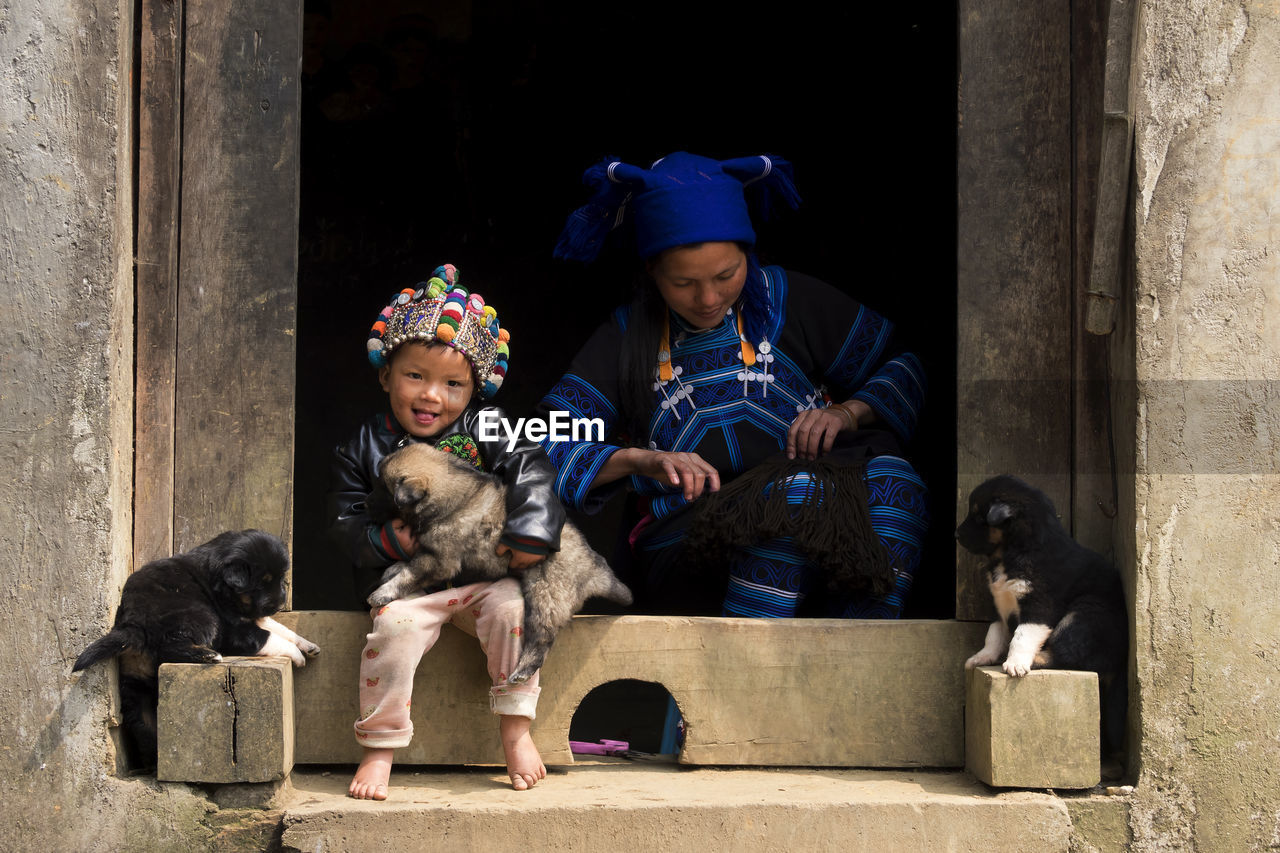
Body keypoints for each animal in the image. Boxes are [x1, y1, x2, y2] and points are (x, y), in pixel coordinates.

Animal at [72, 527, 320, 768]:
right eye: (261, 583)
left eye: (280, 578)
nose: (279, 604)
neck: (221, 586)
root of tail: (134, 625)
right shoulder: (232, 631)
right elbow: (267, 635)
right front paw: (297, 655)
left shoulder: (248, 617)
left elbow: (278, 627)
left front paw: (308, 645)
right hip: (201, 615)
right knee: (169, 647)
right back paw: (208, 655)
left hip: (135, 688)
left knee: (145, 726)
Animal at [957, 471, 1126, 676]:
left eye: (979, 518)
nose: (956, 534)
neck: (1016, 550)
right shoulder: (998, 602)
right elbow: (994, 633)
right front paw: (982, 657)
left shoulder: (1039, 603)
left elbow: (1022, 635)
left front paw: (1015, 663)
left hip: (1085, 612)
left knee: (1071, 656)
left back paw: (1035, 660)